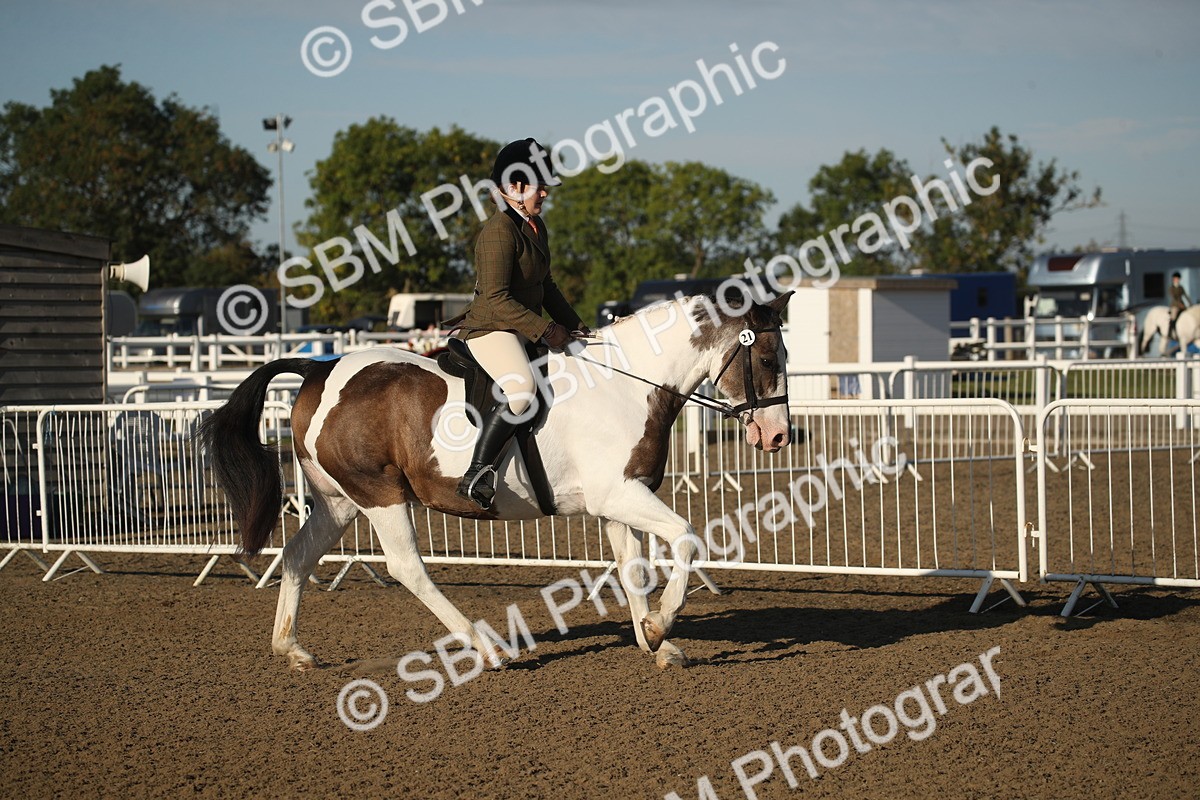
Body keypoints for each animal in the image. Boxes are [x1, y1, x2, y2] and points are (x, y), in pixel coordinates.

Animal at [198, 291, 793, 670]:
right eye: (767, 358)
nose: (778, 437)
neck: (628, 385)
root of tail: (320, 370)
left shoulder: (615, 502)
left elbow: (633, 571)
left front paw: (655, 643)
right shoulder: (621, 495)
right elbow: (687, 538)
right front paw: (660, 627)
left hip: (339, 502)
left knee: (298, 555)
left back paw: (292, 650)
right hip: (380, 495)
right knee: (407, 568)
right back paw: (485, 650)